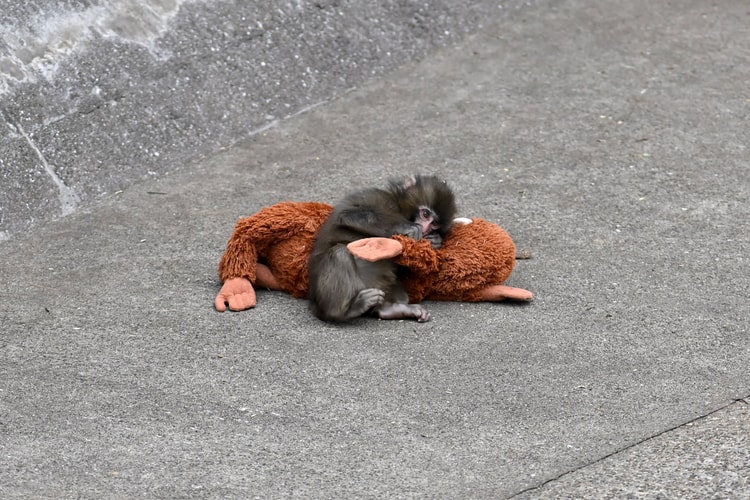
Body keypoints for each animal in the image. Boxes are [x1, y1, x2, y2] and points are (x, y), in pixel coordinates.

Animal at [308, 174, 456, 323]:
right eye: (425, 214)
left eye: (434, 224)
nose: (425, 229)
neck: (398, 206)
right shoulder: (376, 196)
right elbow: (348, 215)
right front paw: (407, 227)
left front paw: (435, 240)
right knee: (339, 253)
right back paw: (344, 311)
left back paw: (390, 309)